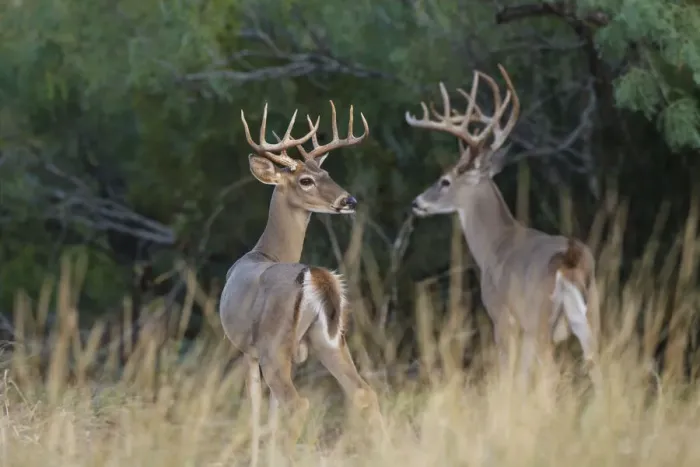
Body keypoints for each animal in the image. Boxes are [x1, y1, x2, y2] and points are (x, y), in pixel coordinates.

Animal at [219, 101, 383, 467]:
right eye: (307, 179)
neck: (264, 252)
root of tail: (313, 275)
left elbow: (257, 412)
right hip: (329, 340)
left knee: (299, 405)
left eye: (327, 174)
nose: (349, 201)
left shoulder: (249, 350)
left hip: (274, 345)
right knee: (363, 392)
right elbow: (270, 413)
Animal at [404, 64, 601, 389]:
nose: (417, 202)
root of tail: (570, 258)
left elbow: (508, 375)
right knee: (600, 365)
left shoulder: (501, 314)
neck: (494, 245)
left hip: (539, 317)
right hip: (590, 310)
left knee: (550, 373)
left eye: (445, 181)